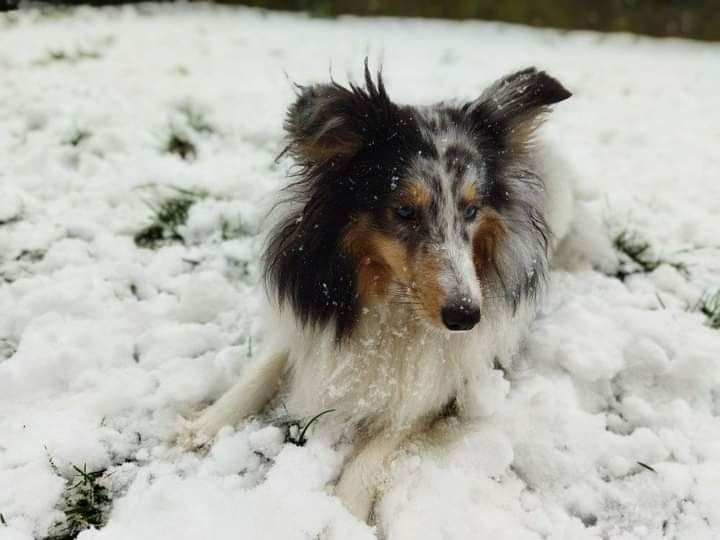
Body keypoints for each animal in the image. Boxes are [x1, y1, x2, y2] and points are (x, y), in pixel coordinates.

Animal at [183, 62, 576, 524]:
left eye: (472, 210)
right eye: (403, 210)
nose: (465, 317)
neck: (392, 307)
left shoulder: (449, 380)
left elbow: (384, 439)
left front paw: (342, 513)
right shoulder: (308, 327)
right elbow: (260, 372)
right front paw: (199, 428)